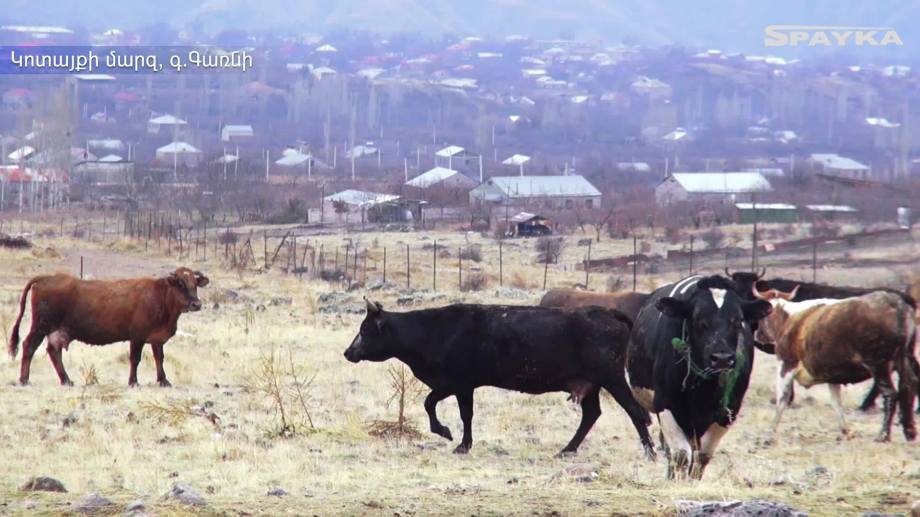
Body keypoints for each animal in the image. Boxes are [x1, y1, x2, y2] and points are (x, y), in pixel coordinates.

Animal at [7, 268, 208, 384]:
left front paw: (164, 381)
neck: (160, 296)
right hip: (40, 326)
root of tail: (48, 277)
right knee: (29, 346)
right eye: (180, 284)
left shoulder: (156, 339)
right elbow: (135, 359)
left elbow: (159, 358)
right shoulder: (137, 337)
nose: (196, 304)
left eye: (195, 284)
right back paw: (24, 379)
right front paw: (133, 382)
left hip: (55, 331)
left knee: (53, 352)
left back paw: (66, 380)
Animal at [344, 298, 656, 456]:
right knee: (592, 414)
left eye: (365, 330)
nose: (348, 352)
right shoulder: (452, 384)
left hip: (612, 378)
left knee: (635, 411)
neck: (432, 330)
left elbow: (457, 412)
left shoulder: (460, 384)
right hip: (590, 385)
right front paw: (448, 434)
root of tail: (609, 312)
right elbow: (434, 405)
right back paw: (567, 449)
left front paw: (458, 441)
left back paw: (650, 451)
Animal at [628, 274, 772, 480]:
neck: (705, 387)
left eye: (738, 320)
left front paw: (693, 481)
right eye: (697, 318)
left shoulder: (729, 410)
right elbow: (680, 454)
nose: (722, 359)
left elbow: (703, 456)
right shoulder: (665, 403)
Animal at [752, 284, 916, 442]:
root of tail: (895, 303)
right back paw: (910, 431)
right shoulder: (832, 375)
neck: (789, 318)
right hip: (904, 359)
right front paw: (845, 431)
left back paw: (883, 435)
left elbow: (782, 399)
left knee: (891, 394)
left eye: (762, 316)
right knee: (907, 388)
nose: (757, 335)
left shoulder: (786, 364)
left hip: (879, 365)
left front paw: (770, 433)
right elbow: (836, 402)